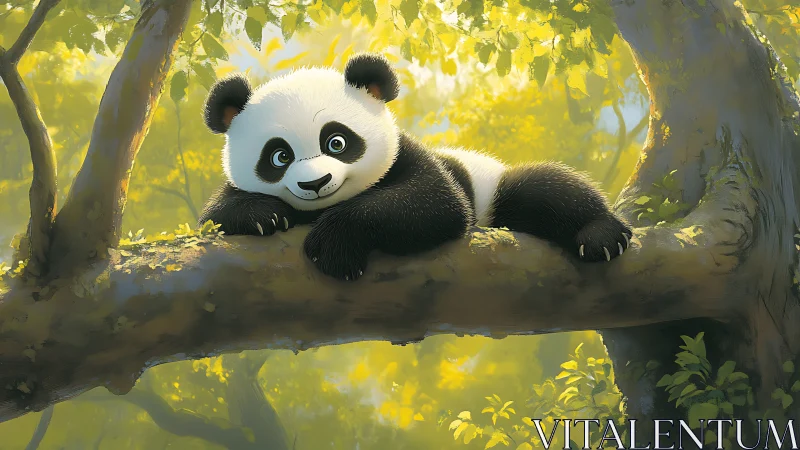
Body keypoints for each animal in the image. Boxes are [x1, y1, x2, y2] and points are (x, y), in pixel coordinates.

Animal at [198, 52, 633, 281]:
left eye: (337, 142)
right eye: (279, 156)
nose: (316, 183)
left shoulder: (407, 155)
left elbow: (434, 203)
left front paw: (334, 244)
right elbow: (214, 213)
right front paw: (262, 215)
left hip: (492, 189)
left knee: (544, 188)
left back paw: (602, 236)